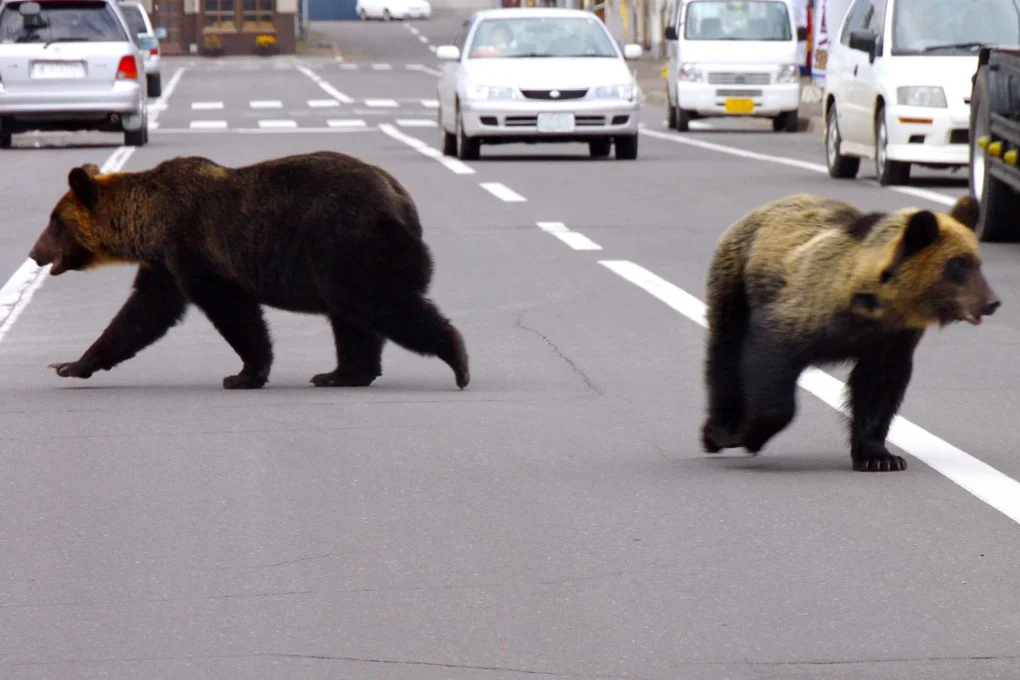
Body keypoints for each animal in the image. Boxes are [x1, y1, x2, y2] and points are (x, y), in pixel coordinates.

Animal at [27, 152, 470, 391]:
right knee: (352, 319)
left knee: (379, 303)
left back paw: (458, 360)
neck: (148, 223)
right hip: (341, 258)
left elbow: (232, 311)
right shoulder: (165, 264)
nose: (34, 253)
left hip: (346, 243)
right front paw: (71, 364)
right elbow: (141, 315)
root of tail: (401, 200)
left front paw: (243, 373)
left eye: (54, 222)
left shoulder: (193, 249)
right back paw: (339, 373)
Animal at [700, 192, 1000, 472]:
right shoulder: (802, 311)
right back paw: (717, 430)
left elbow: (878, 387)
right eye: (957, 264)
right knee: (725, 350)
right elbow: (770, 361)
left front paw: (880, 457)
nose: (992, 302)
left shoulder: (891, 339)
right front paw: (748, 435)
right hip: (736, 281)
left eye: (977, 262)